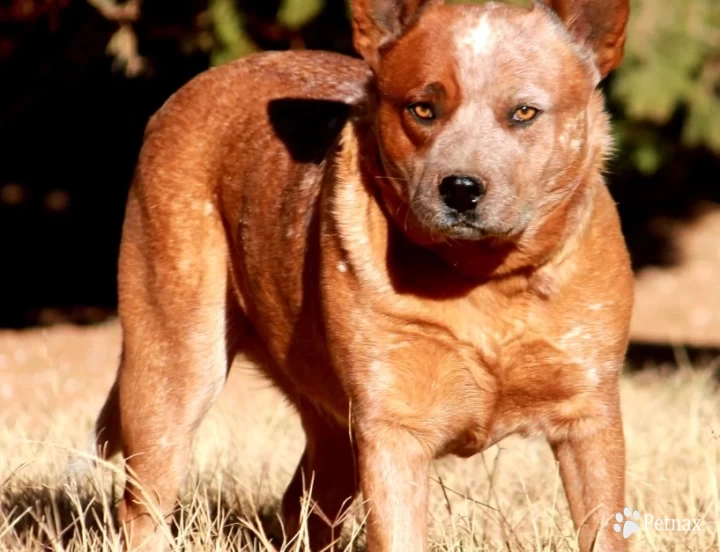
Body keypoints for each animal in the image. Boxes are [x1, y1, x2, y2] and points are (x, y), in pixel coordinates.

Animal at [87, 2, 632, 548]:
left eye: (523, 112)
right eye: (422, 109)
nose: (459, 188)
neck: (486, 284)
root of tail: (199, 84)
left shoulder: (591, 418)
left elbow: (607, 528)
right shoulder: (392, 430)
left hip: (329, 425)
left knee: (301, 503)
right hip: (175, 368)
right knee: (142, 504)